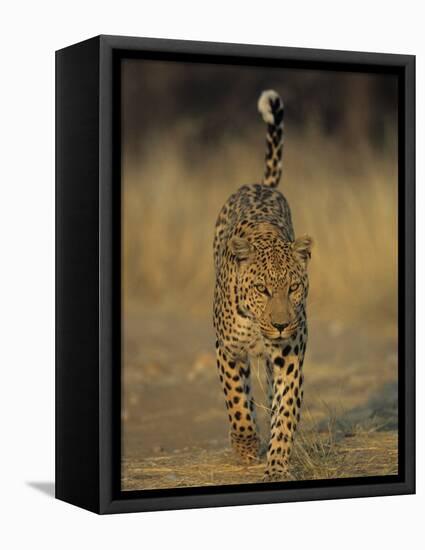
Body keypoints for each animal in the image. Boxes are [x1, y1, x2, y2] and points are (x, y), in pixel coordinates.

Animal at [212, 90, 312, 484]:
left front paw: (278, 464)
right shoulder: (227, 349)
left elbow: (285, 413)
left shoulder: (289, 358)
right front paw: (245, 445)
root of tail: (261, 186)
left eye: (294, 288)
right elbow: (236, 399)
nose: (282, 324)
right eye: (262, 290)